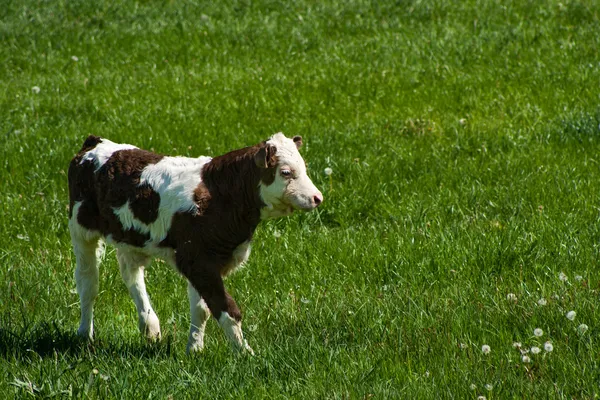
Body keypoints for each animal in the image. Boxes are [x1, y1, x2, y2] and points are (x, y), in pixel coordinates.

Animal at [67, 132, 324, 354]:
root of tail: (94, 143)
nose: (317, 197)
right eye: (286, 172)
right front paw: (246, 354)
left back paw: (150, 326)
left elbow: (202, 309)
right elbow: (226, 309)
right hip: (81, 229)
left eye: (304, 168)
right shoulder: (197, 260)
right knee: (88, 283)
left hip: (131, 238)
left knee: (131, 273)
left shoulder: (205, 261)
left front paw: (195, 349)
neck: (222, 194)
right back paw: (85, 334)